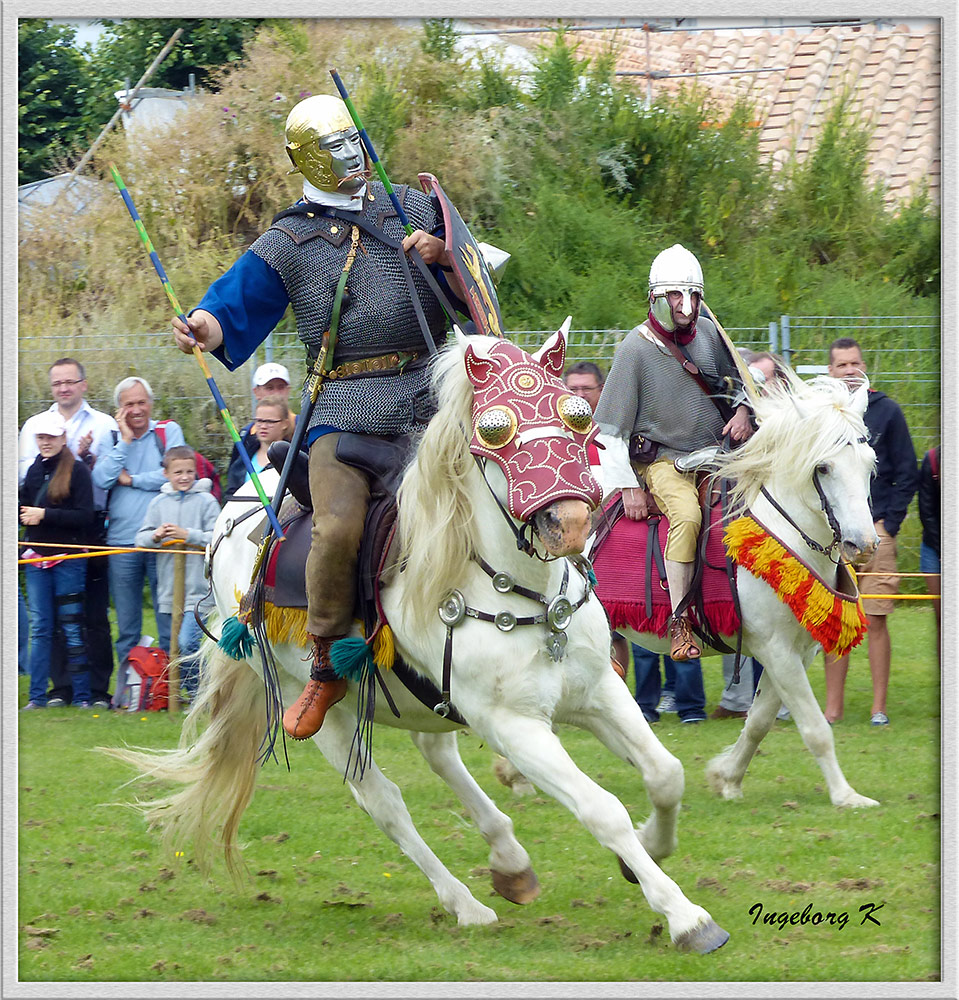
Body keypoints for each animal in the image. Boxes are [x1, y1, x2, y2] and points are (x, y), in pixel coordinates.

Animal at [105, 326, 732, 952]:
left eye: (575, 413)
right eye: (495, 430)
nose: (571, 525)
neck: (523, 592)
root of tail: (229, 520)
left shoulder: (597, 691)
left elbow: (666, 775)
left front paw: (646, 852)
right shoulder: (515, 726)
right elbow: (602, 809)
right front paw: (687, 916)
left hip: (420, 696)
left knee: (438, 754)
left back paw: (509, 860)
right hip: (320, 710)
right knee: (384, 803)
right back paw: (466, 903)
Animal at [604, 372, 880, 808]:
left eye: (868, 466)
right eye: (823, 467)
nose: (864, 545)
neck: (786, 531)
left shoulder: (795, 653)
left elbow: (760, 721)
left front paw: (727, 779)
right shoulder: (776, 650)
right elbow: (816, 728)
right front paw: (846, 795)